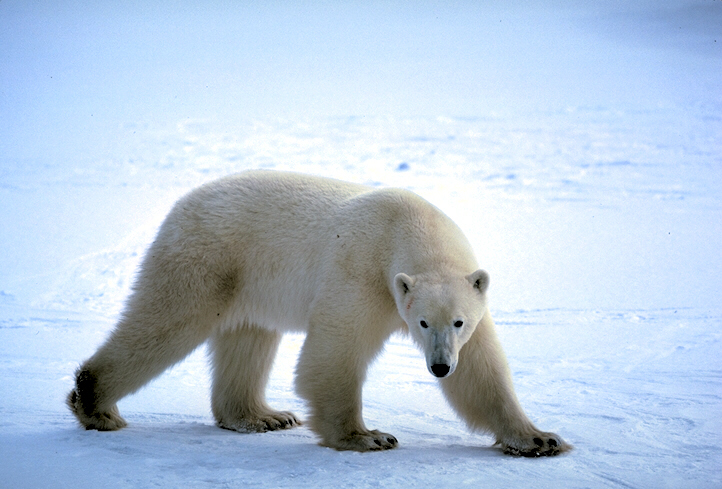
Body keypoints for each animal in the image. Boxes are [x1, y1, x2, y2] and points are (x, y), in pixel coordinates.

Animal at [70, 170, 572, 456]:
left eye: (458, 322)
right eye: (422, 322)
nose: (439, 367)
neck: (409, 227)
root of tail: (181, 203)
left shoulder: (467, 295)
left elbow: (482, 373)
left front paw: (540, 439)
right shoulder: (362, 273)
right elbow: (335, 352)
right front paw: (368, 437)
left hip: (249, 280)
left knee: (248, 340)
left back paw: (263, 416)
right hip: (208, 259)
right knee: (166, 321)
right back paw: (96, 404)